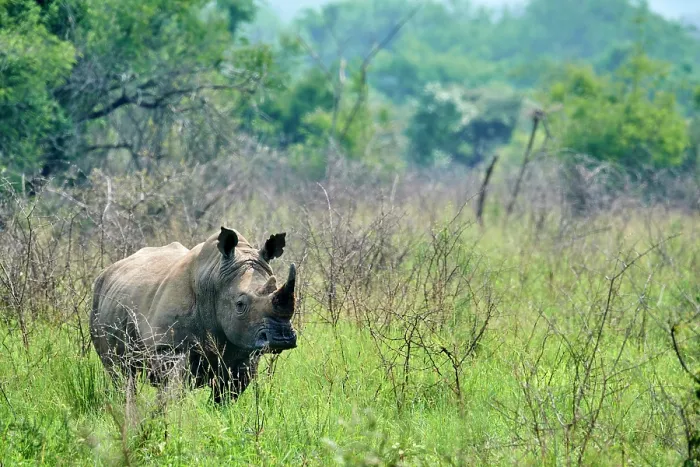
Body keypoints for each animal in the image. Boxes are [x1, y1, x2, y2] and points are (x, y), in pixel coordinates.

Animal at [90, 227, 297, 402]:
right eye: (240, 305)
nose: (282, 338)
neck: (214, 280)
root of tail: (109, 270)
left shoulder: (244, 350)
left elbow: (226, 396)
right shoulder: (167, 346)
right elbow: (172, 388)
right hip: (98, 298)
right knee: (120, 373)